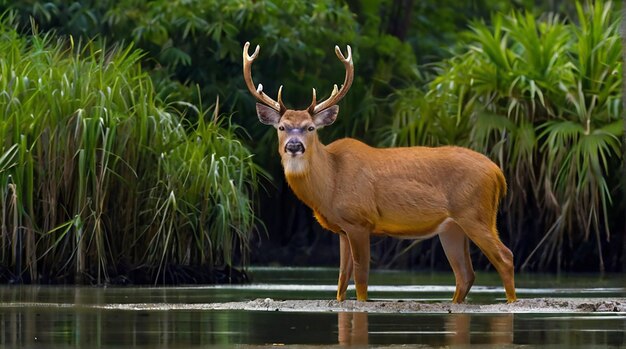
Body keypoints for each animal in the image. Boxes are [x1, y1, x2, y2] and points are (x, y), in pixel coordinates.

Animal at [241, 41, 516, 302]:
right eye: (282, 127)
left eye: (310, 128)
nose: (294, 146)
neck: (331, 181)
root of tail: (498, 173)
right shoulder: (342, 229)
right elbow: (341, 282)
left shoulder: (359, 221)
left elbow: (361, 278)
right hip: (452, 227)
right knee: (465, 274)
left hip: (475, 212)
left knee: (505, 257)